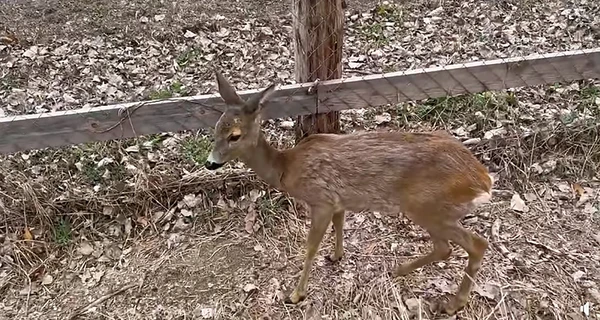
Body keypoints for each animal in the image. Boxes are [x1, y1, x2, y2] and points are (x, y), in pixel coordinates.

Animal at [204, 70, 494, 316]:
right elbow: (340, 224)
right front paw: (336, 255)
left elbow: (310, 247)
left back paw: (452, 303)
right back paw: (400, 270)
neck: (287, 168)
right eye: (215, 128)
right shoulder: (338, 201)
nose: (210, 163)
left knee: (474, 244)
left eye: (235, 135)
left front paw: (296, 294)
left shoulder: (320, 199)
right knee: (445, 248)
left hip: (428, 207)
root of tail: (483, 181)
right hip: (431, 210)